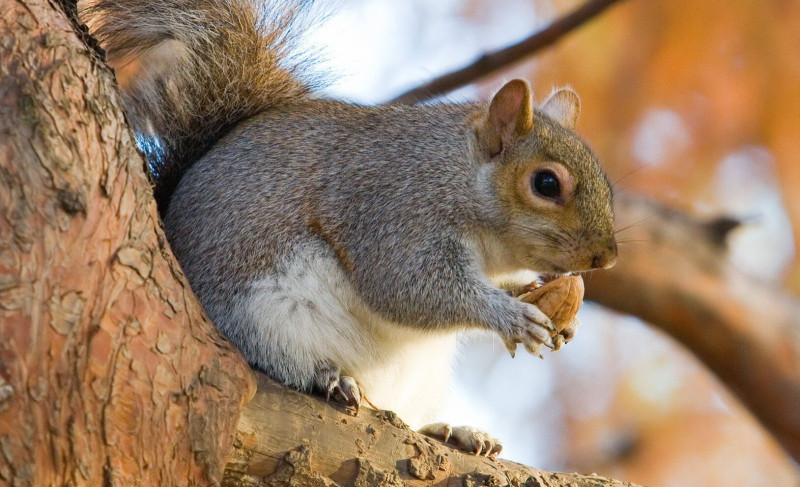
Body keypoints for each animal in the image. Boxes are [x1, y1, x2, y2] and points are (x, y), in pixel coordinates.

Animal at [79, 0, 620, 456]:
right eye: (546, 183)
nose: (607, 257)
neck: (458, 177)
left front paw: (550, 306)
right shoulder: (391, 209)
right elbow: (407, 287)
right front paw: (510, 316)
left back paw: (452, 432)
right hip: (262, 316)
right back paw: (327, 377)